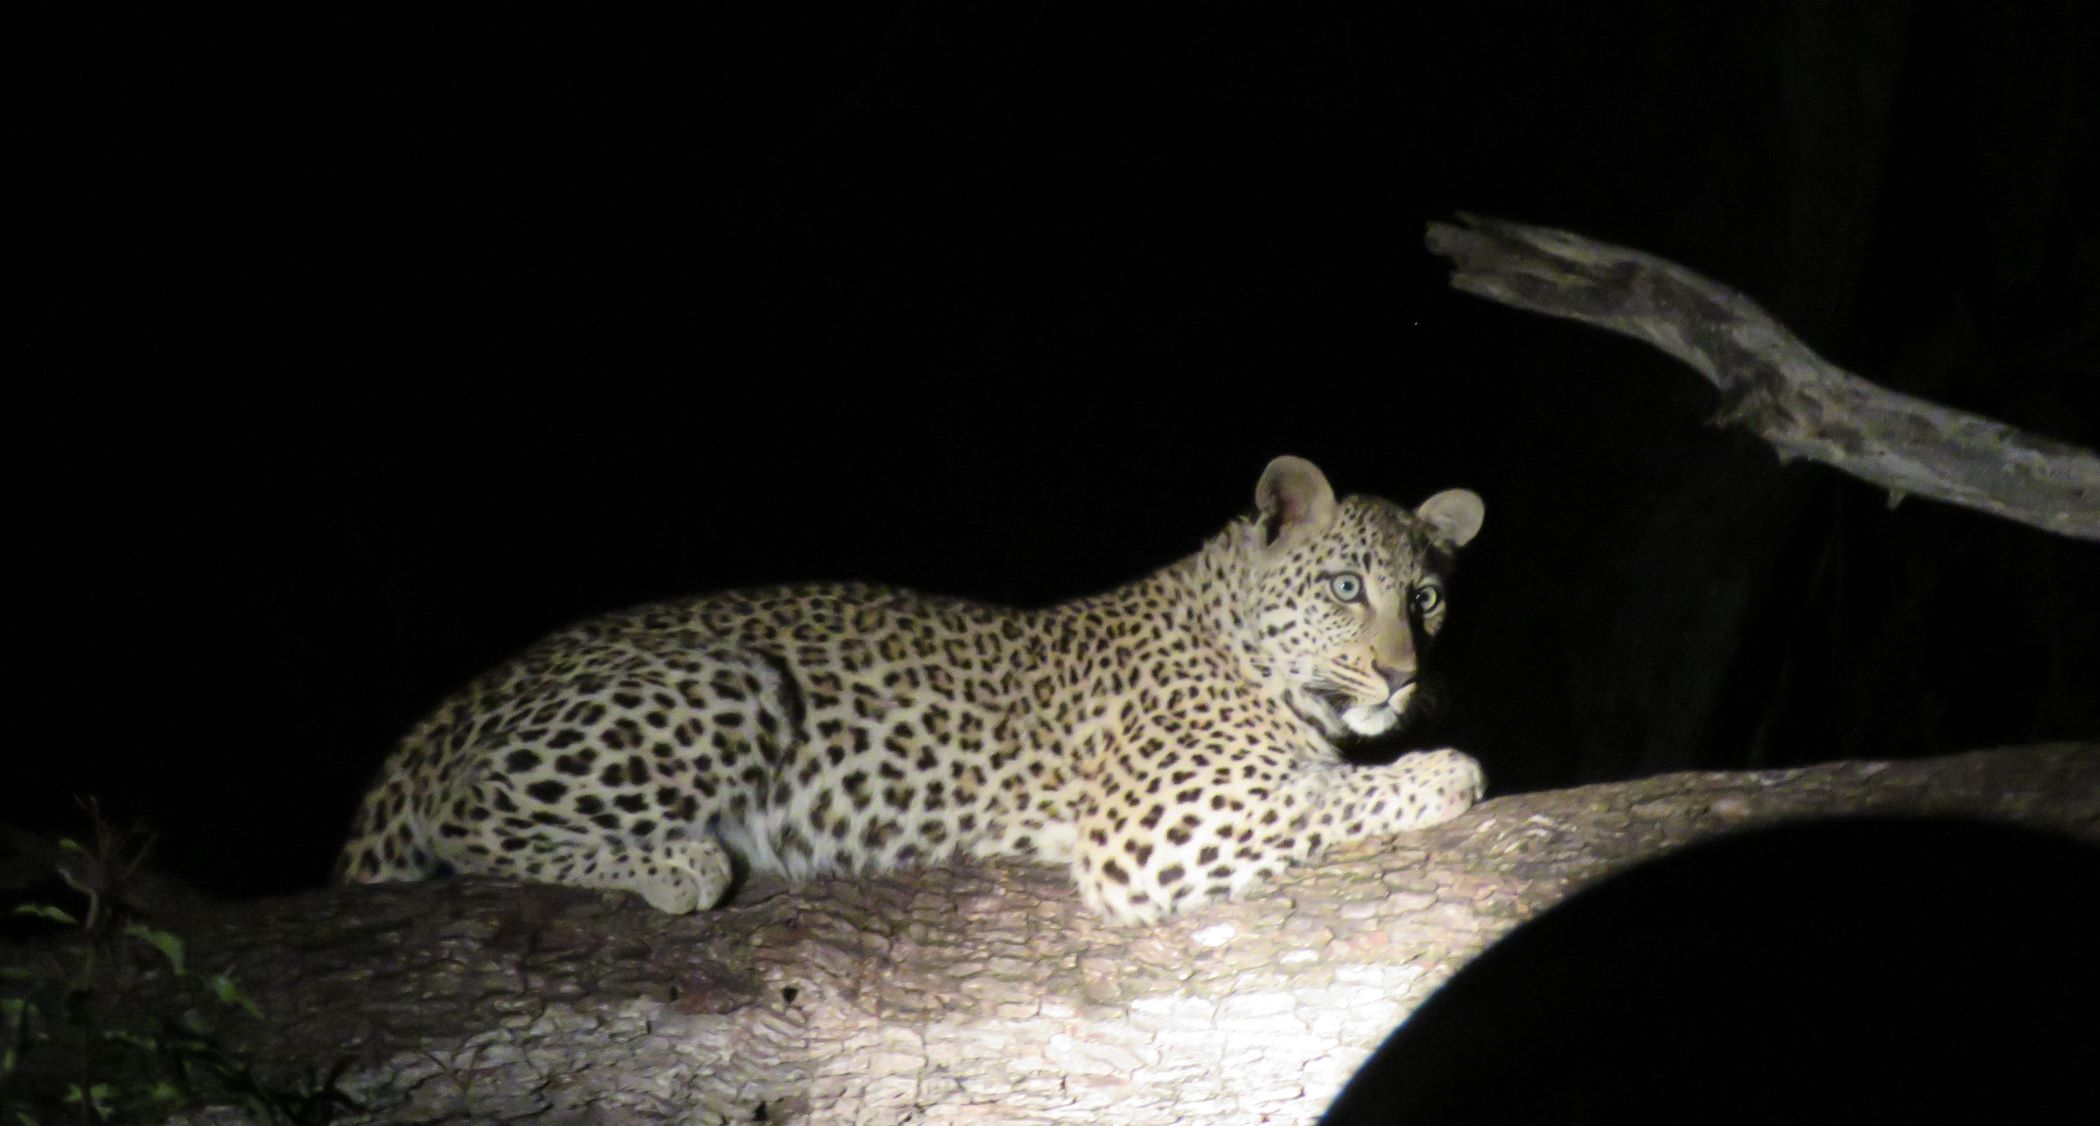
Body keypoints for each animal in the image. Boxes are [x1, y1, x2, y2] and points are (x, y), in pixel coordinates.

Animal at [336, 457, 1486, 924]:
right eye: (1346, 588)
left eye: (1427, 598)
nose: (1403, 674)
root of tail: (472, 692)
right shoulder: (1151, 825)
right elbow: (1324, 795)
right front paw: (1447, 773)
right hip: (732, 678)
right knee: (464, 815)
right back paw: (676, 860)